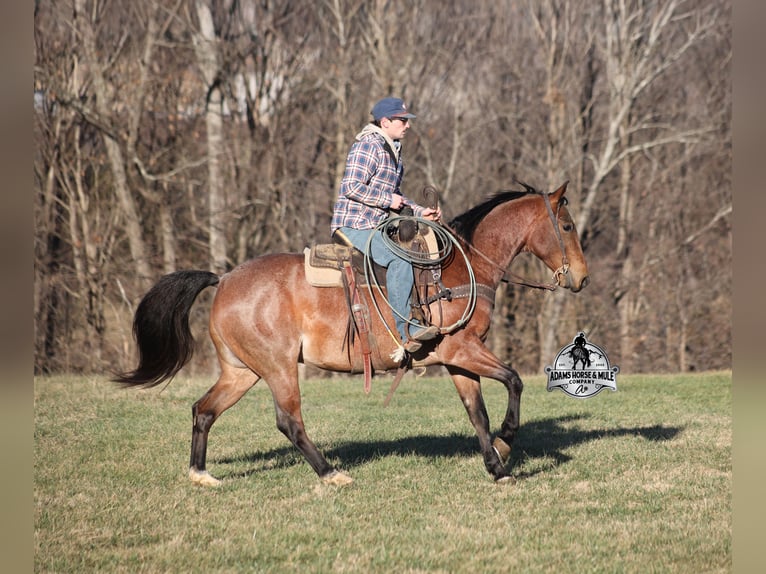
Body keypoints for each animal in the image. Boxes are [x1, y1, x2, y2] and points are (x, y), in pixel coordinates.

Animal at [114, 181, 589, 486]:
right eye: (567, 227)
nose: (582, 278)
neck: (458, 271)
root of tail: (225, 278)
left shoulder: (458, 359)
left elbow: (478, 413)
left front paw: (497, 467)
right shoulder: (464, 349)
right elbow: (513, 381)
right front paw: (507, 445)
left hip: (242, 371)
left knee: (204, 411)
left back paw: (201, 474)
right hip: (278, 367)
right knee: (289, 421)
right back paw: (331, 473)